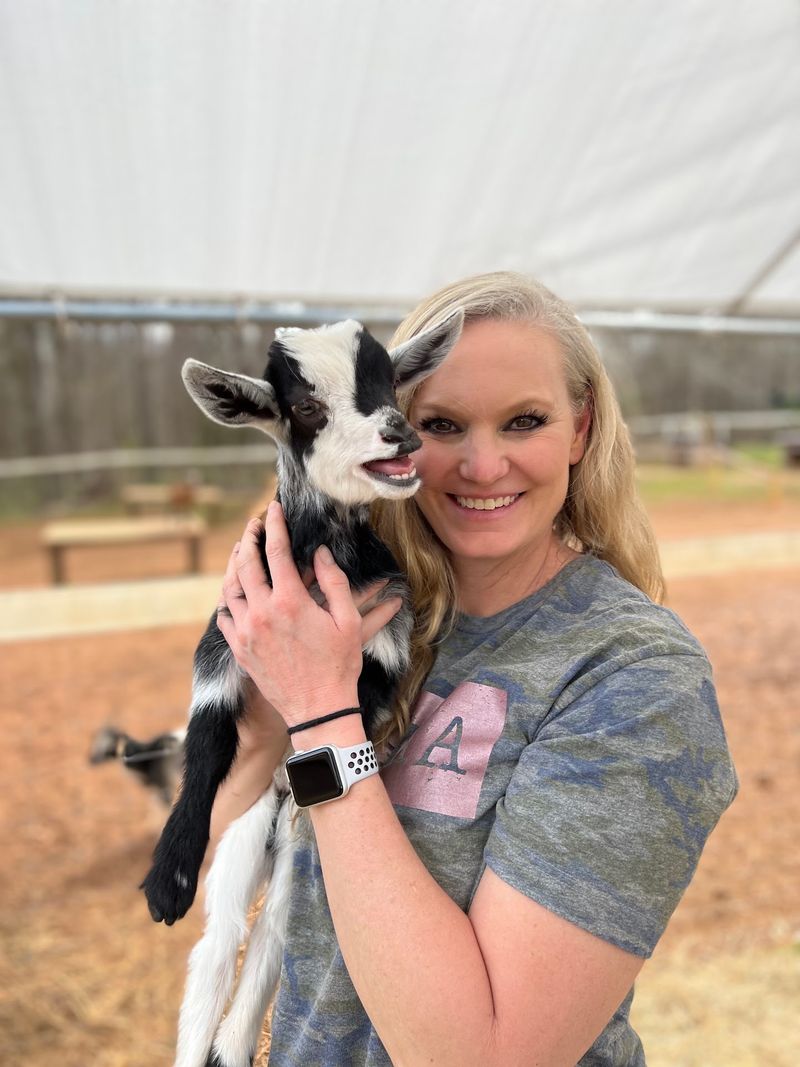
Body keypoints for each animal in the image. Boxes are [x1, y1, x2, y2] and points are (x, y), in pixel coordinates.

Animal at [140, 313, 463, 1067]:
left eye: (389, 380)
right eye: (306, 407)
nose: (400, 433)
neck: (325, 562)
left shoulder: (380, 650)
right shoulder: (223, 645)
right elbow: (204, 746)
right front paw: (168, 876)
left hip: (284, 862)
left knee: (268, 945)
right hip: (240, 842)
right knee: (219, 947)